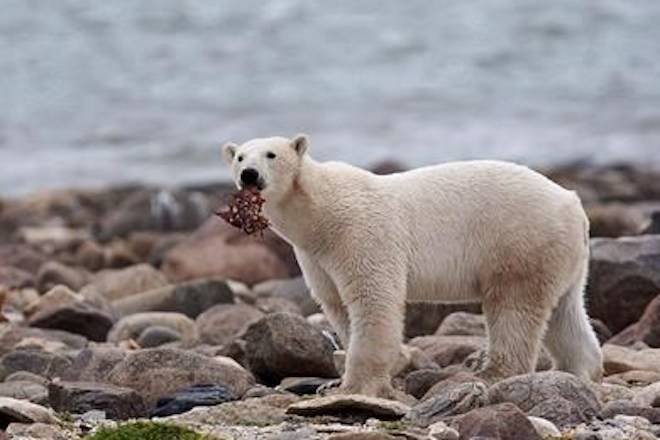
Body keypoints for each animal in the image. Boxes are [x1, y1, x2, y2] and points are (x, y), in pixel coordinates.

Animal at [222, 134, 604, 398]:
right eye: (240, 156)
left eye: (271, 154)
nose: (249, 174)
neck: (320, 213)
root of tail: (573, 204)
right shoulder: (315, 256)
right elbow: (337, 304)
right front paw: (333, 384)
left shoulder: (360, 233)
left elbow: (373, 299)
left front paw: (355, 386)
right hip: (562, 255)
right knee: (566, 312)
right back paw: (576, 371)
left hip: (519, 240)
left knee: (514, 308)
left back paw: (491, 374)